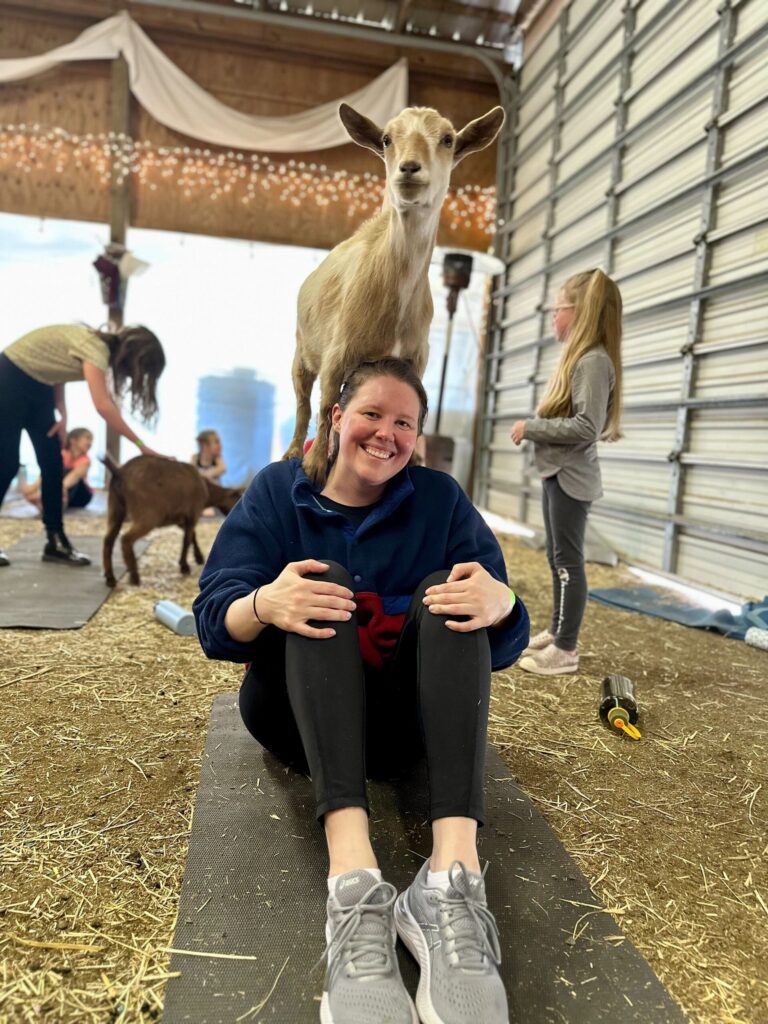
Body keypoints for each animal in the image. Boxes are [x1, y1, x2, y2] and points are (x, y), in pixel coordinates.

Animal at [102, 453, 243, 587]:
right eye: (238, 498)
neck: (207, 489)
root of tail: (120, 472)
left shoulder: (180, 519)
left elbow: (192, 536)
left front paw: (198, 558)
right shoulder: (193, 514)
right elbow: (187, 540)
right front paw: (185, 566)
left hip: (115, 509)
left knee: (108, 540)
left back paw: (110, 578)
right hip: (147, 515)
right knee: (126, 539)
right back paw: (134, 576)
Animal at [283, 102, 505, 484]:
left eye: (448, 139)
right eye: (387, 139)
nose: (410, 168)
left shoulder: (416, 357)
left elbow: (416, 408)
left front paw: (414, 458)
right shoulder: (337, 354)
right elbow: (326, 405)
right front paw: (314, 466)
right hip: (302, 350)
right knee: (303, 402)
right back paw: (295, 452)